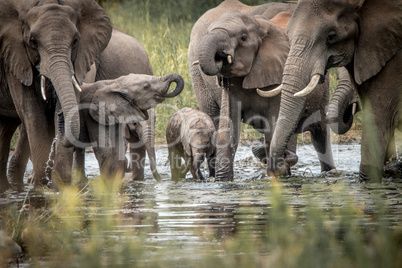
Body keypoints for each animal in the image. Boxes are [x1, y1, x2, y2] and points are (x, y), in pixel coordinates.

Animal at [188, 0, 340, 181]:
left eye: (243, 37)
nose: (220, 57)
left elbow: (273, 126)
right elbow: (228, 131)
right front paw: (224, 182)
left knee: (320, 134)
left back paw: (327, 173)